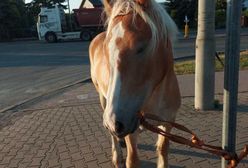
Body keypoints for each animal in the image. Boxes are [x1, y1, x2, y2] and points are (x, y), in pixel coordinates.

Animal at [89, 0, 180, 167]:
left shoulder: (168, 122)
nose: (115, 122)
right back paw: (116, 155)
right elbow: (132, 159)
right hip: (104, 101)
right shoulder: (130, 128)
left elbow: (163, 150)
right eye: (106, 50)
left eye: (141, 47)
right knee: (111, 135)